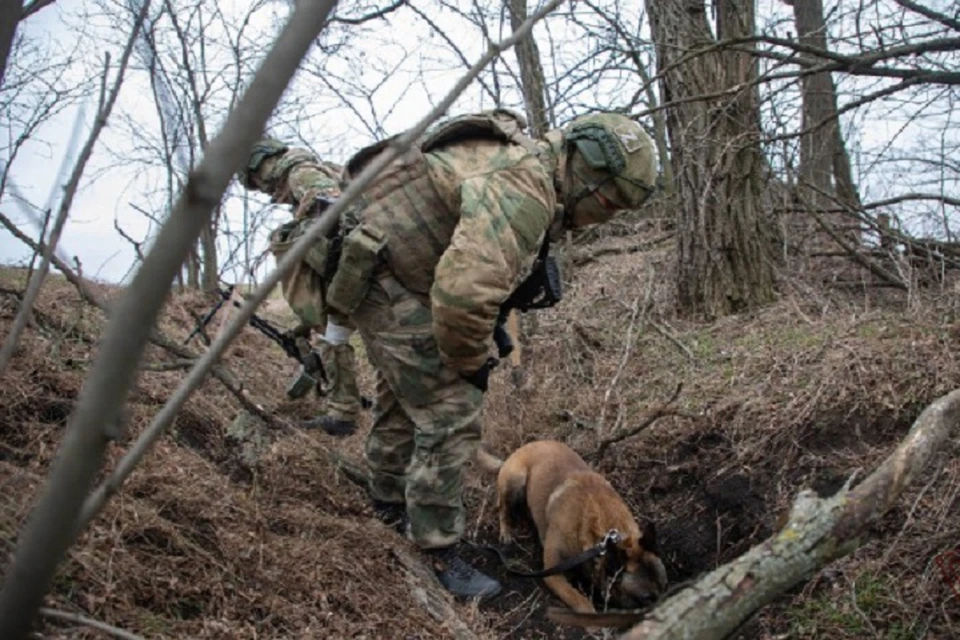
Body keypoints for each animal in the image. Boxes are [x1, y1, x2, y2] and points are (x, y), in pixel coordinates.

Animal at [474, 438, 668, 612]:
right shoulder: (554, 574)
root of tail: (518, 450)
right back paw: (506, 531)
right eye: (647, 598)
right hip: (515, 481)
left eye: (665, 588)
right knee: (503, 509)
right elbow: (580, 601)